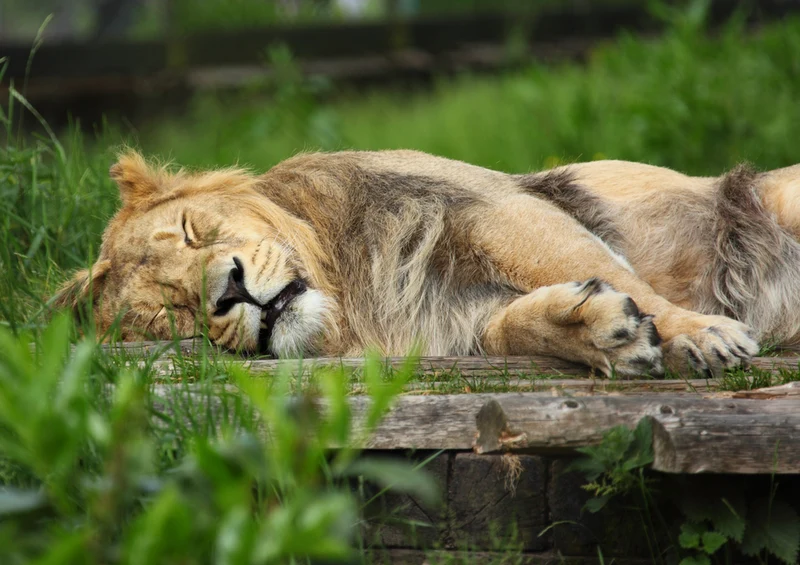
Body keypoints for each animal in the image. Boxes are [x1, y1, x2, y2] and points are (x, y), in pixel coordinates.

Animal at [57, 148, 800, 378]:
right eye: (173, 312)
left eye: (191, 232)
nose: (229, 292)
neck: (352, 300)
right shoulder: (454, 318)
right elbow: (512, 327)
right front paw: (601, 332)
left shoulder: (497, 209)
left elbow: (610, 268)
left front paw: (702, 333)